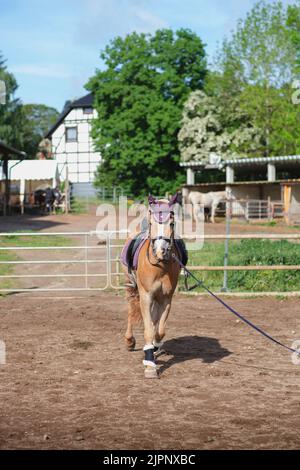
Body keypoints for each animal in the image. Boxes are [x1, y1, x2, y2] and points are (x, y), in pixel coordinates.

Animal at [121, 193, 183, 380]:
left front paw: (154, 348)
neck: (160, 266)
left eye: (171, 223)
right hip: (132, 288)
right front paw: (150, 365)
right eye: (151, 223)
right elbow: (148, 329)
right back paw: (129, 340)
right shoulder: (146, 296)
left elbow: (159, 330)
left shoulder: (166, 299)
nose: (161, 250)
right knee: (131, 310)